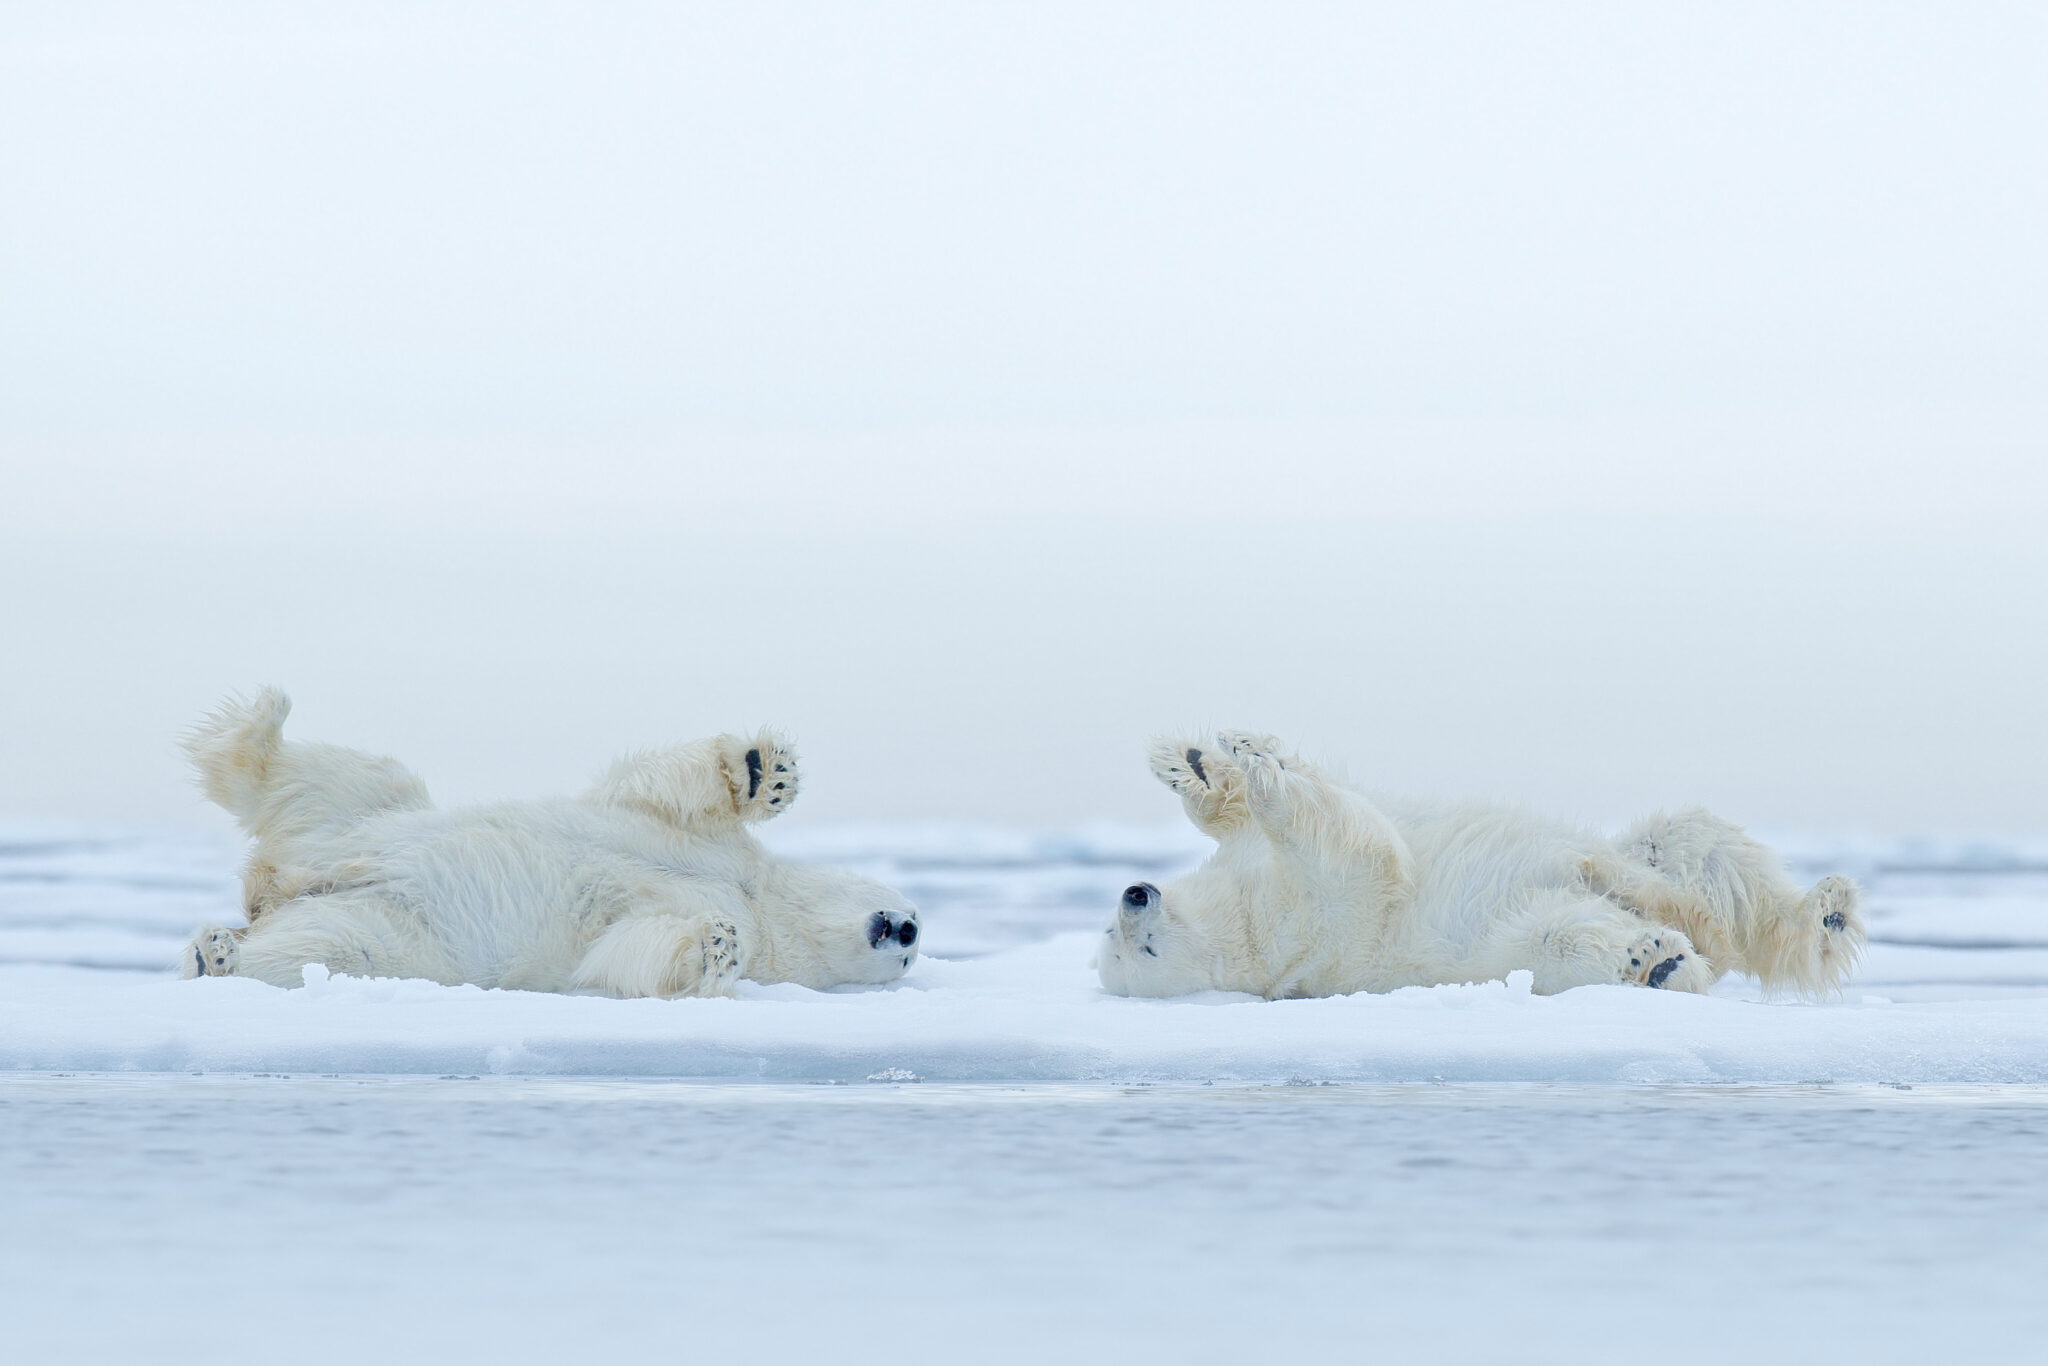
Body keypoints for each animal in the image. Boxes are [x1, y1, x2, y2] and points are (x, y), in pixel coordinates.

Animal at [178, 689, 920, 996]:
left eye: (914, 954)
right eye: (909, 906)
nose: (908, 928)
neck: (762, 900)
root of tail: (273, 888)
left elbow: (625, 950)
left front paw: (714, 945)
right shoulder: (698, 844)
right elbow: (657, 790)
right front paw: (767, 771)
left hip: (396, 934)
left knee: (326, 947)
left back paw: (219, 953)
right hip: (366, 821)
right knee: (342, 778)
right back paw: (264, 722)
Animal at [1097, 730, 1864, 1000]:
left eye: (1111, 932)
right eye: (1139, 950)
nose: (1134, 893)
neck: (1247, 919)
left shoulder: (1255, 871)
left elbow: (1242, 816)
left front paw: (1206, 760)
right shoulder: (1315, 922)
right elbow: (1362, 852)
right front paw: (1262, 775)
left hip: (1647, 859)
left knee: (1692, 847)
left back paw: (1823, 908)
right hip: (1506, 940)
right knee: (1567, 933)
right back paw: (1659, 958)